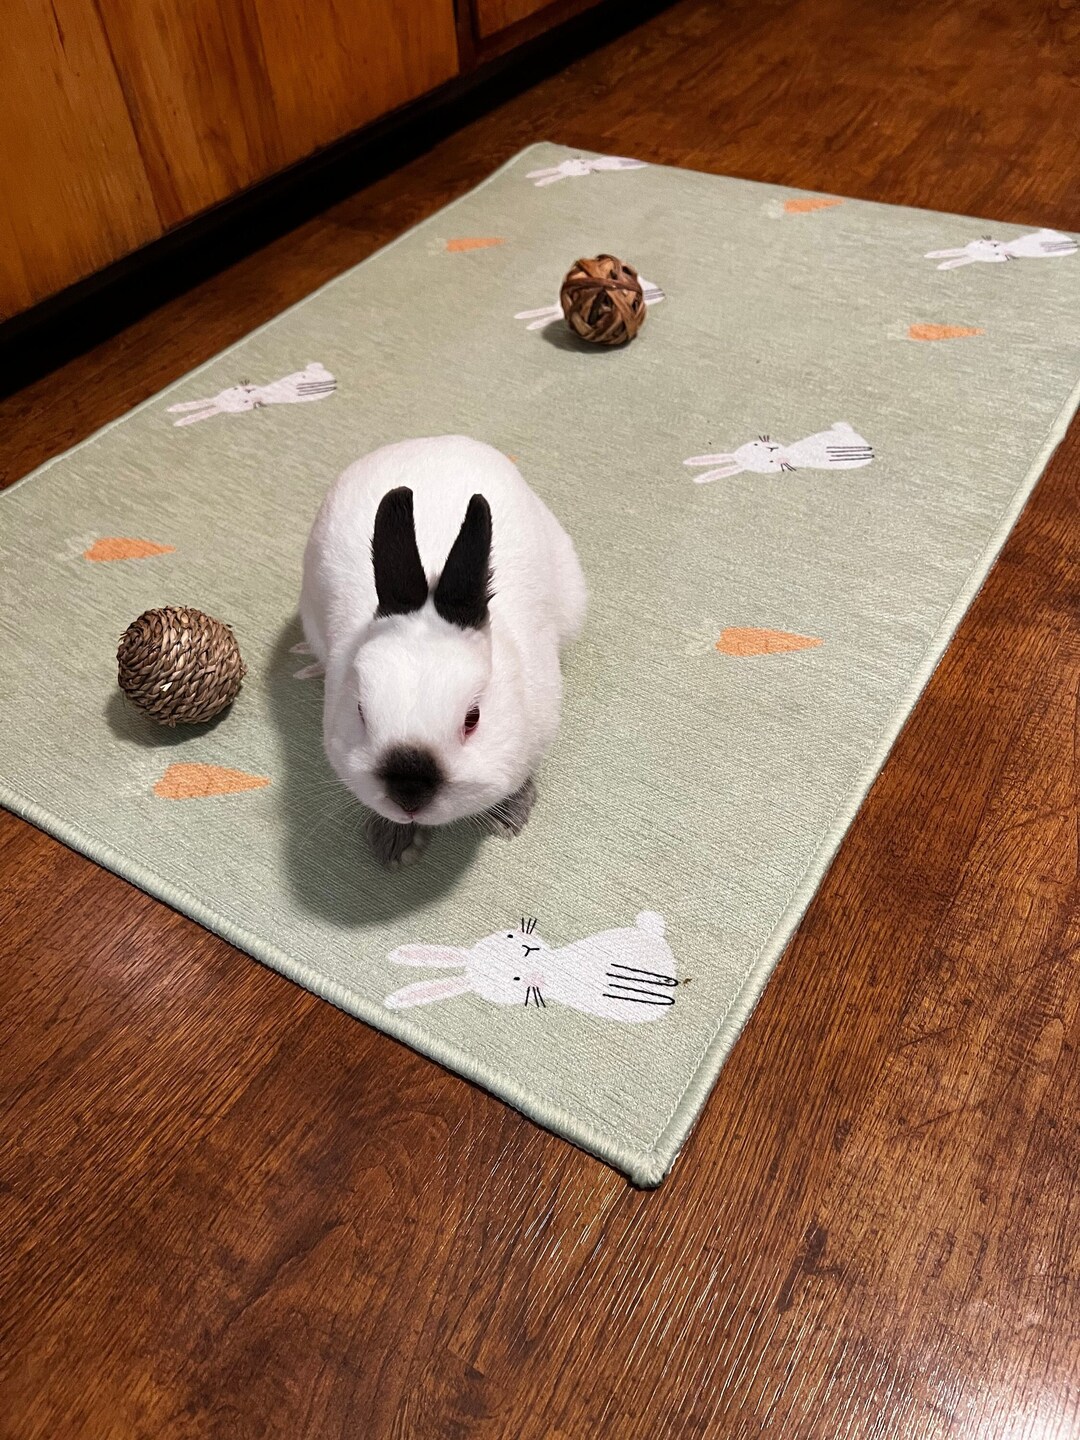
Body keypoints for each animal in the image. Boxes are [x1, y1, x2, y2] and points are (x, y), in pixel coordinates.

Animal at [300, 436, 588, 867]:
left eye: (473, 719)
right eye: (360, 712)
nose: (409, 795)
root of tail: (434, 440)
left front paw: (510, 815)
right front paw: (393, 844)